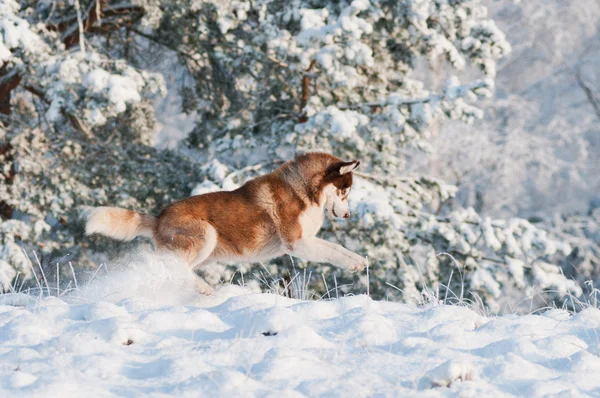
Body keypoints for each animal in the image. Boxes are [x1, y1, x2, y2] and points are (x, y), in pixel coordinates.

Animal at [84, 152, 366, 296]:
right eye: (345, 191)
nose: (348, 215)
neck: (304, 191)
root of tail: (159, 216)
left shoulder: (307, 240)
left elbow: (338, 248)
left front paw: (358, 260)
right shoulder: (297, 244)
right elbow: (331, 253)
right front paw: (352, 265)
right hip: (206, 235)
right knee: (174, 267)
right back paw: (204, 288)